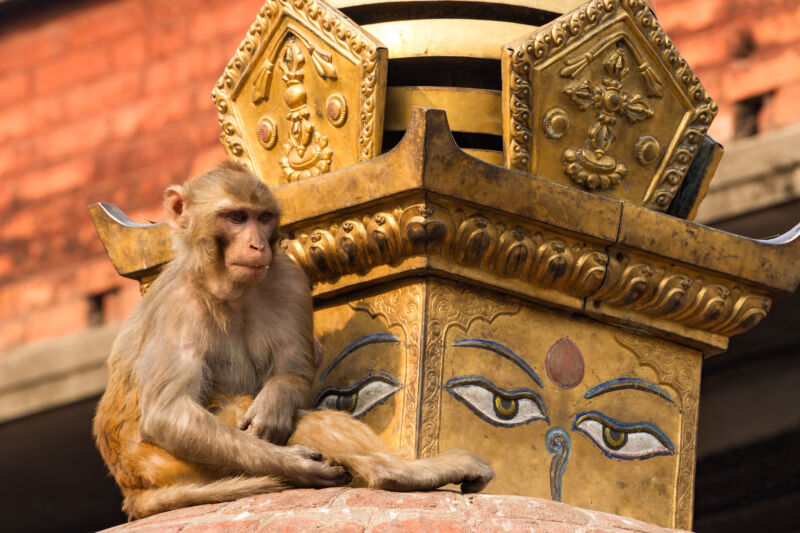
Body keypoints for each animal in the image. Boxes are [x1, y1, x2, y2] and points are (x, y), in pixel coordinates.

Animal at [94, 162, 494, 520]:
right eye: (236, 217)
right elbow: (168, 414)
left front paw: (275, 401)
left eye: (263, 217)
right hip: (166, 463)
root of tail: (132, 488)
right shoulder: (179, 307)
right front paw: (296, 464)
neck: (224, 286)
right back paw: (400, 473)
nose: (257, 245)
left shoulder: (288, 277)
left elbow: (294, 372)